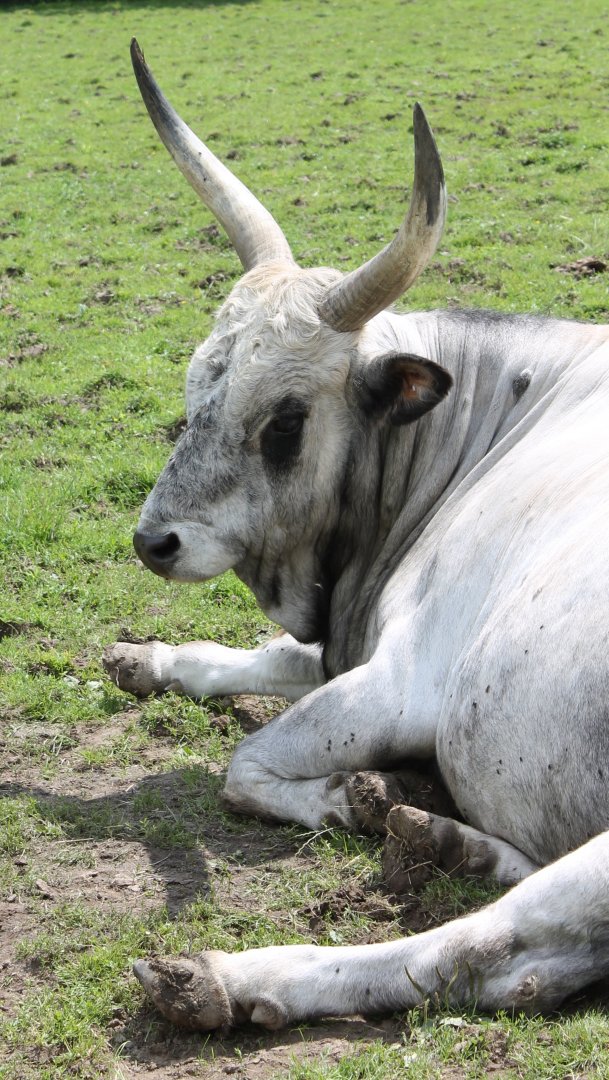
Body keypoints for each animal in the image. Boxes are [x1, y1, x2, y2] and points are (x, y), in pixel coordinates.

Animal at [103, 39, 609, 1031]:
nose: (156, 543)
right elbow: (263, 657)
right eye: (195, 382)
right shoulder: (349, 636)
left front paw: (349, 799)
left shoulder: (401, 681)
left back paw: (228, 977)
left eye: (285, 422)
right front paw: (148, 658)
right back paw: (450, 841)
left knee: (483, 952)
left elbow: (245, 763)